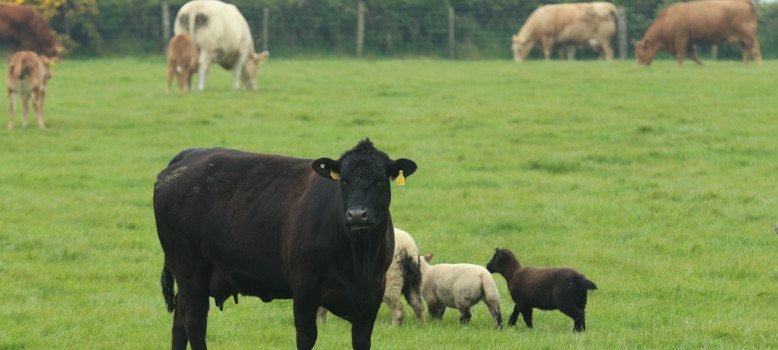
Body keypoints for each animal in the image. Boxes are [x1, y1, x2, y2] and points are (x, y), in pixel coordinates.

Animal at [154, 139, 416, 350]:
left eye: (380, 180)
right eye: (344, 180)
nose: (357, 215)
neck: (358, 258)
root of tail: (192, 154)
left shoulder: (372, 294)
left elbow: (361, 341)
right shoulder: (304, 289)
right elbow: (306, 337)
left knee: (179, 323)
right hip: (189, 269)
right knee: (194, 322)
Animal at [632, 0, 760, 66]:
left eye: (641, 52)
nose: (639, 65)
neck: (668, 19)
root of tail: (745, 2)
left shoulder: (681, 39)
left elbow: (681, 54)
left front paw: (679, 66)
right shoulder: (689, 41)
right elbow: (692, 55)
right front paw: (702, 65)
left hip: (748, 35)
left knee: (755, 47)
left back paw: (759, 64)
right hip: (742, 38)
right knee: (746, 49)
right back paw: (744, 64)